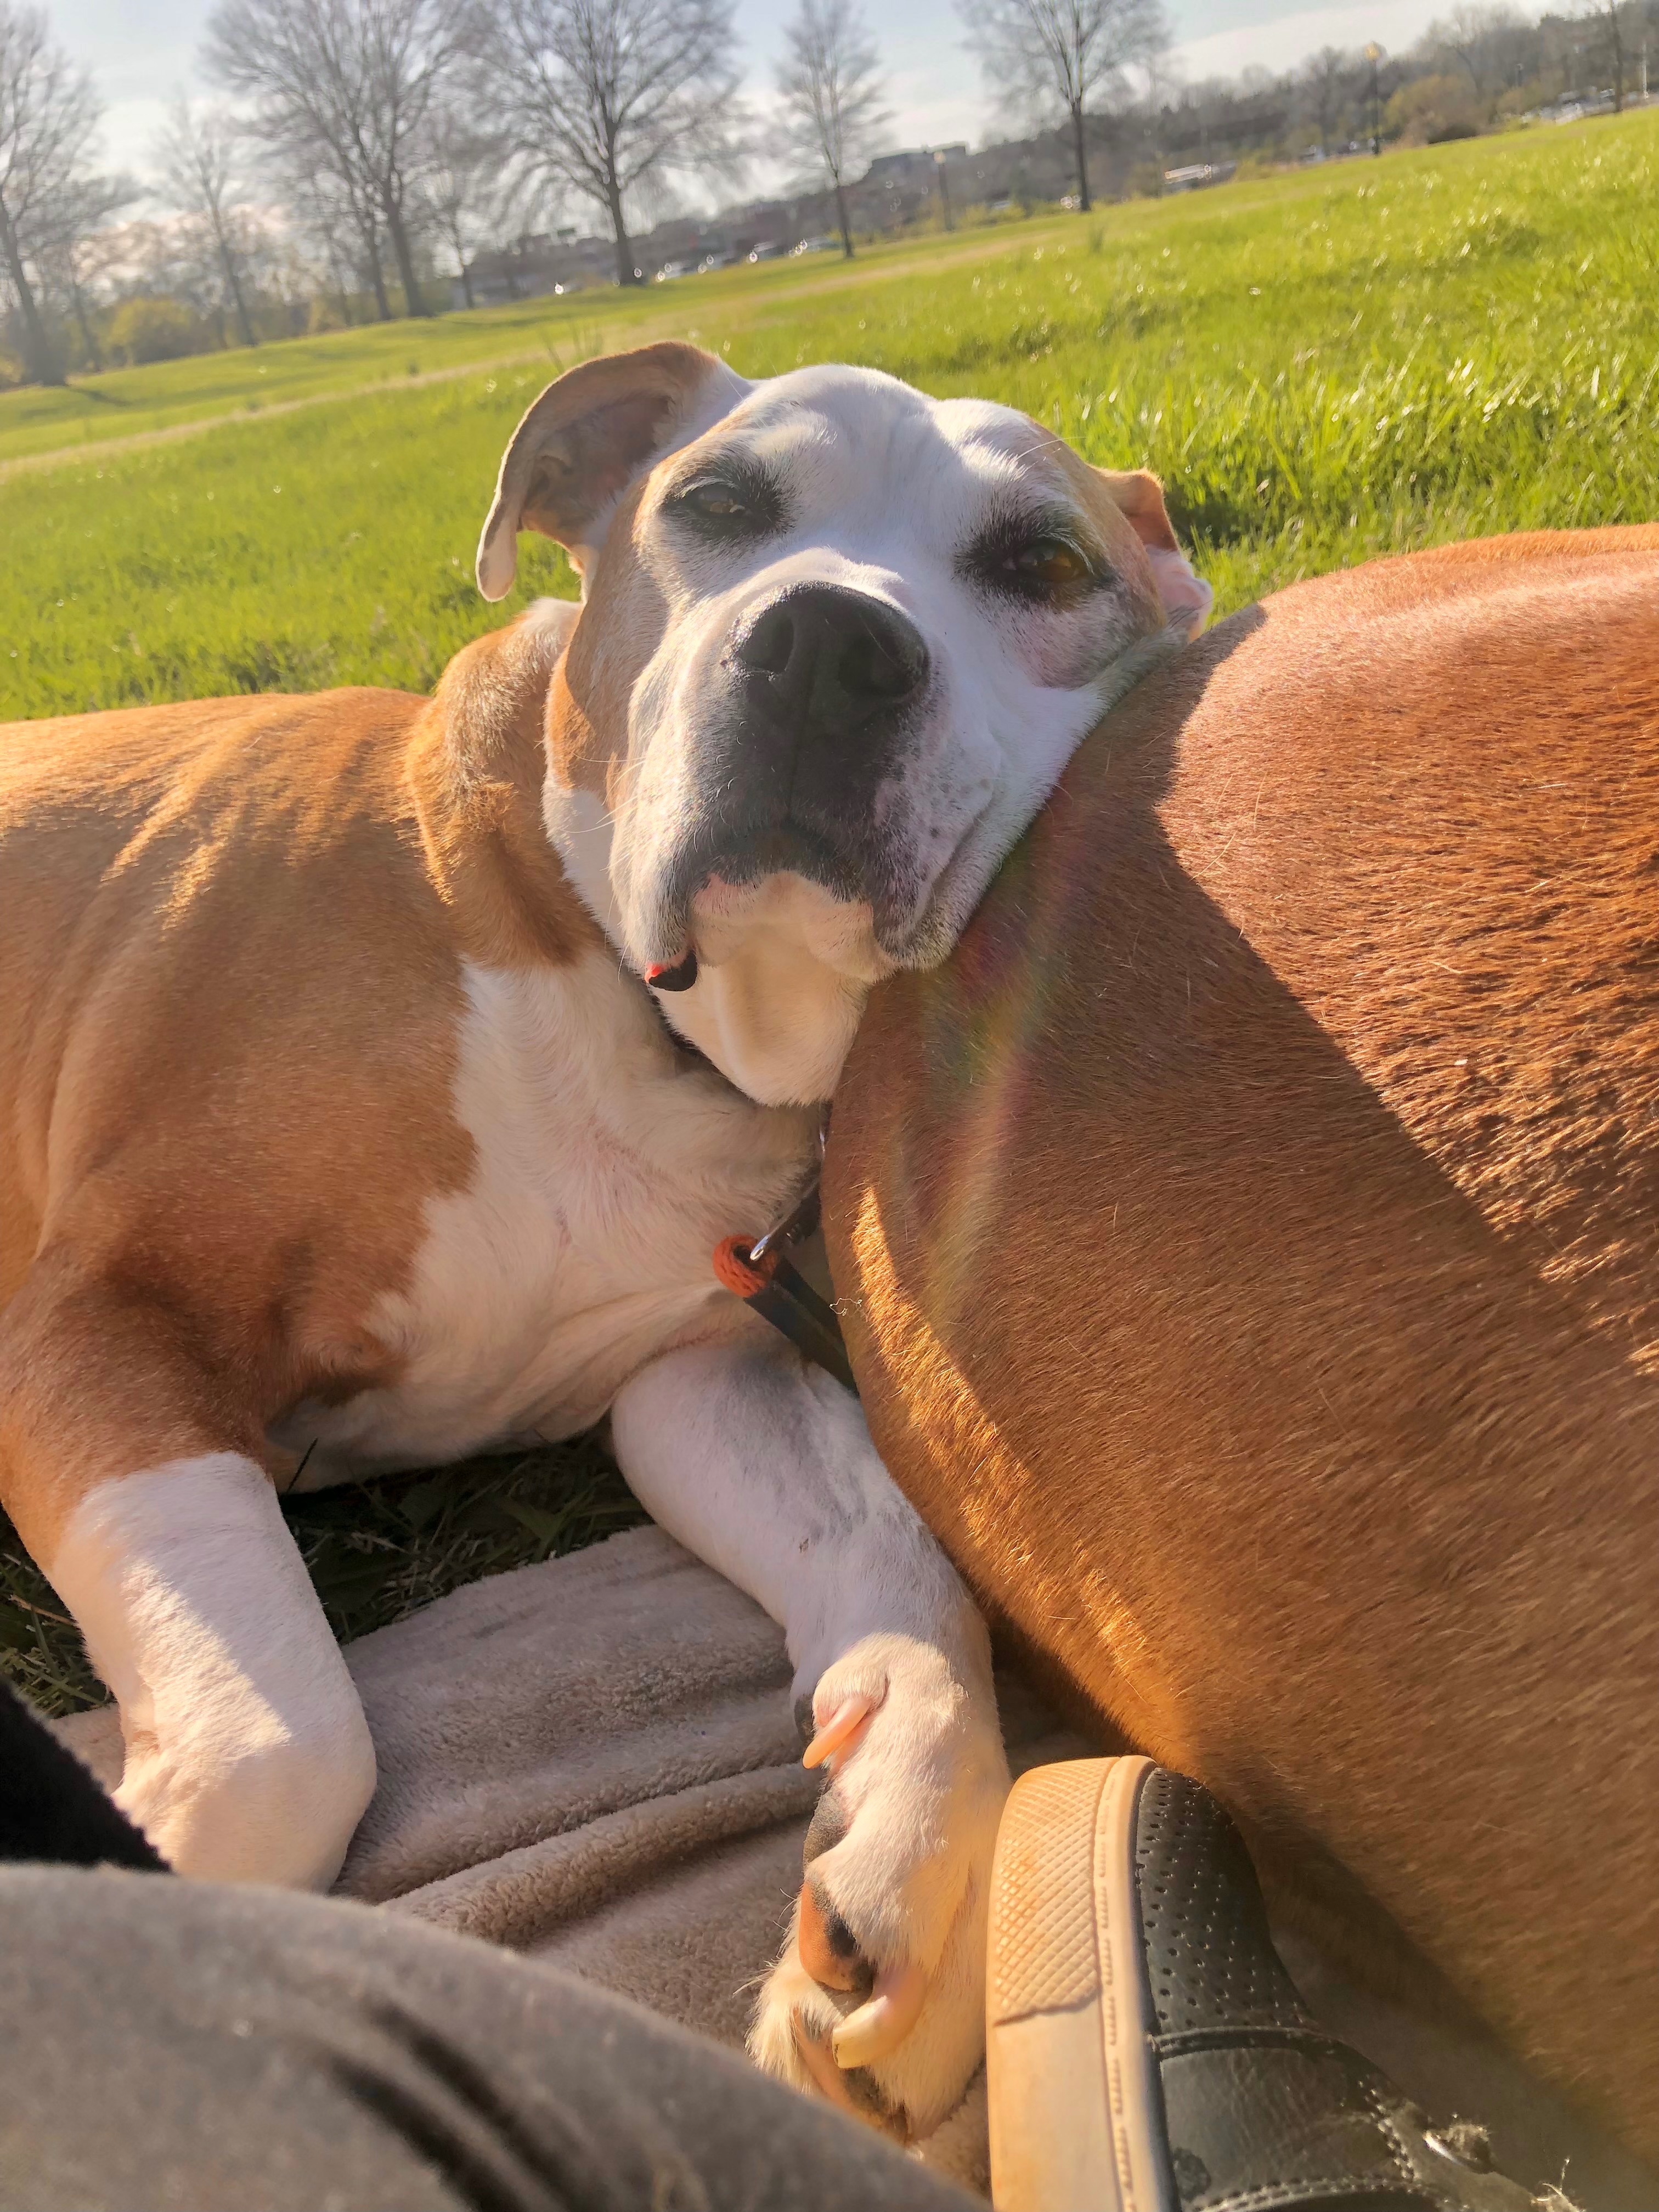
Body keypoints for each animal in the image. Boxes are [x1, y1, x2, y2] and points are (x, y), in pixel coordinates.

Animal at [0, 340, 1210, 2140]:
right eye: (716, 501)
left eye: (1044, 565)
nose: (827, 643)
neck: (620, 994)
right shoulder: (107, 1314)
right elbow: (286, 1744)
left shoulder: (699, 1369)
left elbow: (901, 1563)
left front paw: (908, 1864)